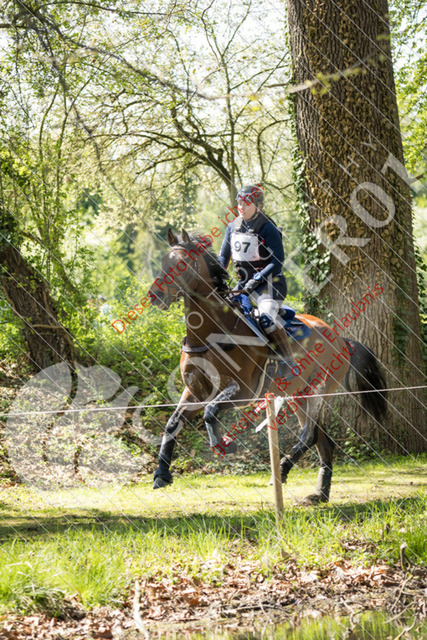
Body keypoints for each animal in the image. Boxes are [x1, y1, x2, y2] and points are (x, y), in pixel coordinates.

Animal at [148, 229, 387, 504]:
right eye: (163, 262)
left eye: (183, 264)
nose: (155, 296)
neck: (209, 334)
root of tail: (341, 339)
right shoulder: (196, 392)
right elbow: (173, 423)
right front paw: (162, 474)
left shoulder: (241, 391)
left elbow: (210, 411)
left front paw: (223, 445)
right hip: (297, 396)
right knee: (323, 441)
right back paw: (319, 494)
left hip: (318, 389)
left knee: (309, 434)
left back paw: (283, 469)